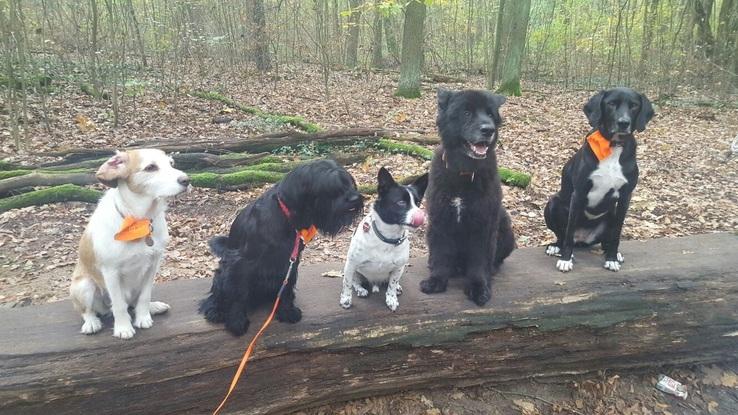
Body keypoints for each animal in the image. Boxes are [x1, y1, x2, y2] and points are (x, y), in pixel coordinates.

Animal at [69, 151, 190, 340]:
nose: (186, 180)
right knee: (88, 311)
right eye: (151, 167)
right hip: (84, 285)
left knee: (133, 302)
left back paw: (154, 307)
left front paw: (143, 316)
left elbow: (144, 297)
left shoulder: (152, 265)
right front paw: (123, 328)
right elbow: (119, 305)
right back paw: (91, 323)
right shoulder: (111, 272)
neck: (138, 221)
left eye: (171, 163)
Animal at [200, 160, 364, 338]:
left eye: (350, 182)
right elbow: (238, 293)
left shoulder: (290, 260)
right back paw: (215, 310)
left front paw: (287, 311)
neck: (286, 217)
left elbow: (286, 286)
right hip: (223, 272)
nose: (356, 198)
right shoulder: (241, 263)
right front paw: (237, 321)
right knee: (217, 294)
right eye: (332, 187)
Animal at [338, 167, 426, 310]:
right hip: (354, 270)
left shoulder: (398, 268)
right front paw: (346, 299)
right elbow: (347, 283)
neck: (387, 238)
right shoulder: (351, 264)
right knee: (354, 282)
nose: (421, 215)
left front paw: (391, 298)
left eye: (418, 202)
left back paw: (397, 288)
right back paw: (361, 290)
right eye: (401, 202)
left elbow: (392, 284)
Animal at [416, 89, 516, 308]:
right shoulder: (440, 220)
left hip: (505, 224)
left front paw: (479, 288)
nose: (488, 130)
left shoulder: (483, 225)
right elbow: (441, 254)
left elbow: (479, 262)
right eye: (467, 113)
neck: (464, 172)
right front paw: (436, 281)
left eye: (490, 114)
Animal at [544, 87, 652, 272]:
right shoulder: (579, 193)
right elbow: (569, 230)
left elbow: (617, 233)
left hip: (612, 212)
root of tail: (582, 239)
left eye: (634, 105)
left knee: (605, 241)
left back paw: (613, 253)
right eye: (611, 103)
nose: (623, 122)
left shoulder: (625, 197)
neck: (613, 147)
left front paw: (612, 259)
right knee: (563, 235)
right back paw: (557, 247)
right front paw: (565, 259)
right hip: (553, 203)